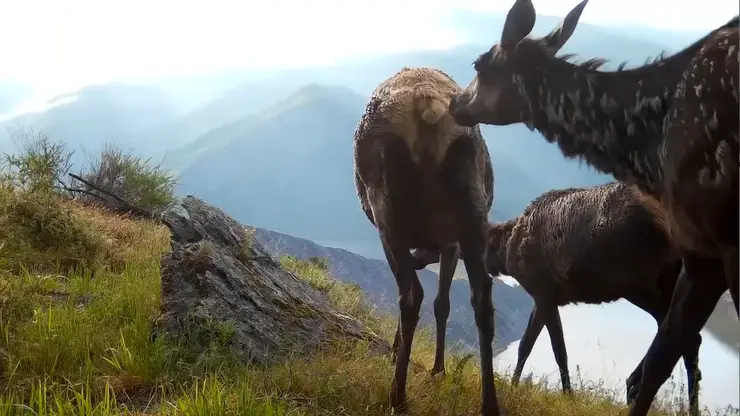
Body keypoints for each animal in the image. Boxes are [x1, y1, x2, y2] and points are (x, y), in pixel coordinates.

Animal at [352, 66, 498, 414]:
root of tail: (426, 108)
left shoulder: (432, 243)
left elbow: (430, 299)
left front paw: (407, 356)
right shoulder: (450, 242)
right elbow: (442, 302)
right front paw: (437, 368)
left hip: (388, 213)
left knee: (410, 295)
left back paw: (398, 395)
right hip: (472, 212)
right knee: (482, 296)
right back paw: (489, 404)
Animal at [446, 1, 740, 414]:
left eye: (479, 63)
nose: (454, 103)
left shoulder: (543, 288)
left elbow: (543, 346)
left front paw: (539, 390)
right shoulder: (702, 256)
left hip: (649, 281)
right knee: (684, 343)